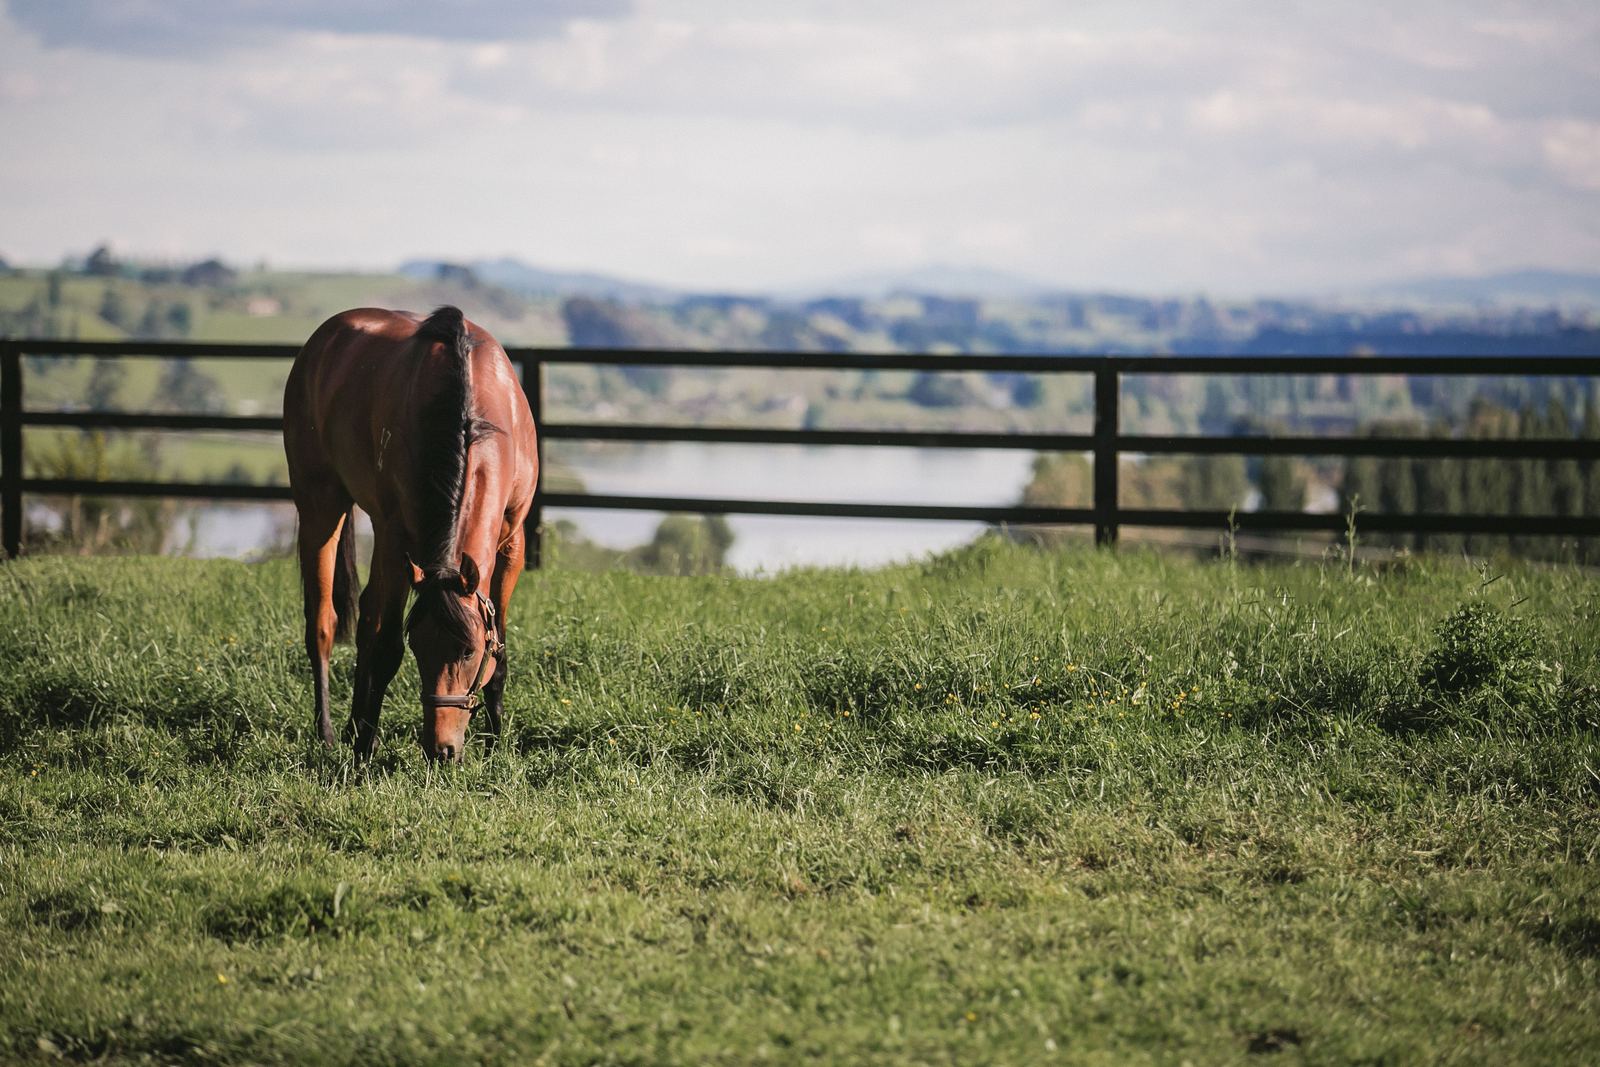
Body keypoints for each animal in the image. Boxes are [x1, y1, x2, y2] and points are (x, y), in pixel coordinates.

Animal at [283, 306, 538, 762]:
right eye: (418, 645)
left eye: (469, 650)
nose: (442, 749)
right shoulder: (396, 539)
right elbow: (386, 647)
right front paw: (364, 750)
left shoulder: (512, 542)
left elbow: (501, 650)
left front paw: (495, 743)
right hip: (321, 508)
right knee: (324, 624)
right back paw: (330, 731)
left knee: (365, 617)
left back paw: (353, 724)